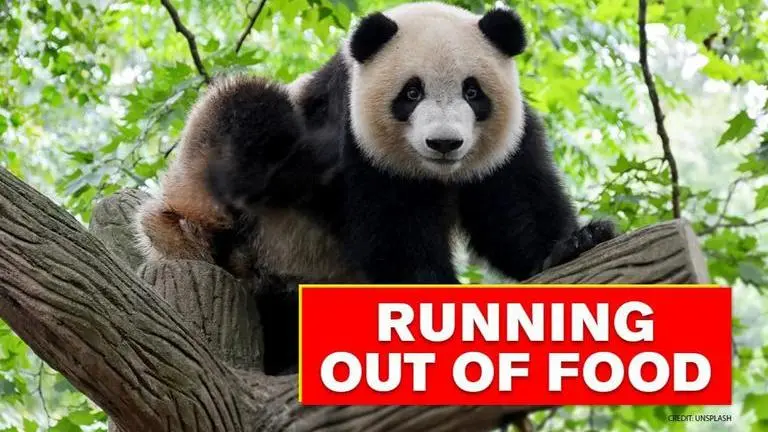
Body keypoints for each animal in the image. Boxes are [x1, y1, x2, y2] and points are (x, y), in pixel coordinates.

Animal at [135, 2, 617, 374]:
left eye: (473, 91)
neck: (435, 174)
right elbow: (394, 234)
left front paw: (578, 241)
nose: (444, 143)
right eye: (411, 93)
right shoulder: (355, 140)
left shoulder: (506, 145)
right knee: (246, 108)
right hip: (218, 203)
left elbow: (514, 213)